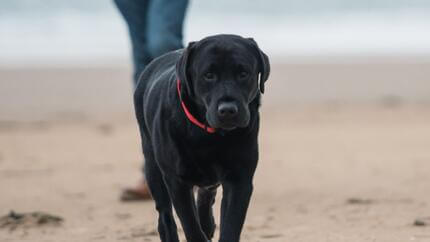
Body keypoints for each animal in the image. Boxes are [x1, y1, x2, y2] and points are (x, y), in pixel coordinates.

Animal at [133, 34, 270, 242]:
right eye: (208, 75)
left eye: (243, 73)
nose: (227, 110)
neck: (209, 137)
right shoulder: (177, 181)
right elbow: (190, 225)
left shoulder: (240, 179)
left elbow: (231, 224)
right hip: (153, 168)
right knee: (165, 217)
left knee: (206, 195)